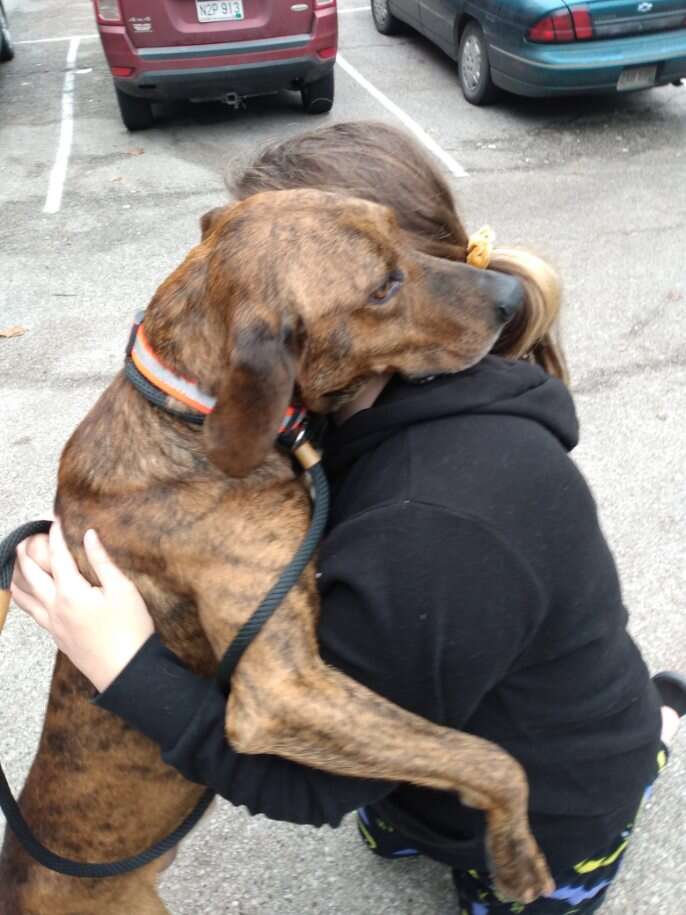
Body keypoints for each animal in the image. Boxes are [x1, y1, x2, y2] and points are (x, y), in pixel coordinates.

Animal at [0, 190, 556, 912]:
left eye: (402, 238)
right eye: (383, 287)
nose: (511, 296)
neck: (187, 413)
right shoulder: (281, 689)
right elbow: (484, 755)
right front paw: (515, 852)